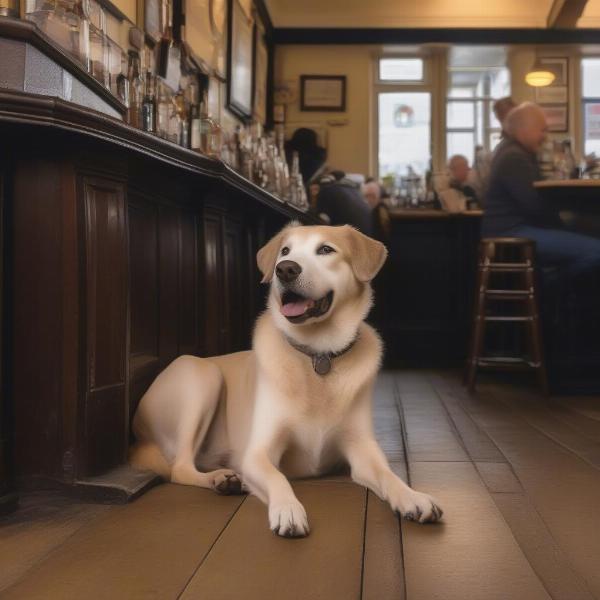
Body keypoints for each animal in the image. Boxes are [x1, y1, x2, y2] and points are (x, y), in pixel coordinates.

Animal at [130, 223, 440, 536]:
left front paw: (412, 497)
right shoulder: (257, 454)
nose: (285, 269)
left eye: (326, 249)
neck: (317, 354)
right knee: (179, 468)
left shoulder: (362, 449)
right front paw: (288, 510)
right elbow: (278, 478)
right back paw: (221, 479)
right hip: (202, 375)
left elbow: (389, 474)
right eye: (285, 251)